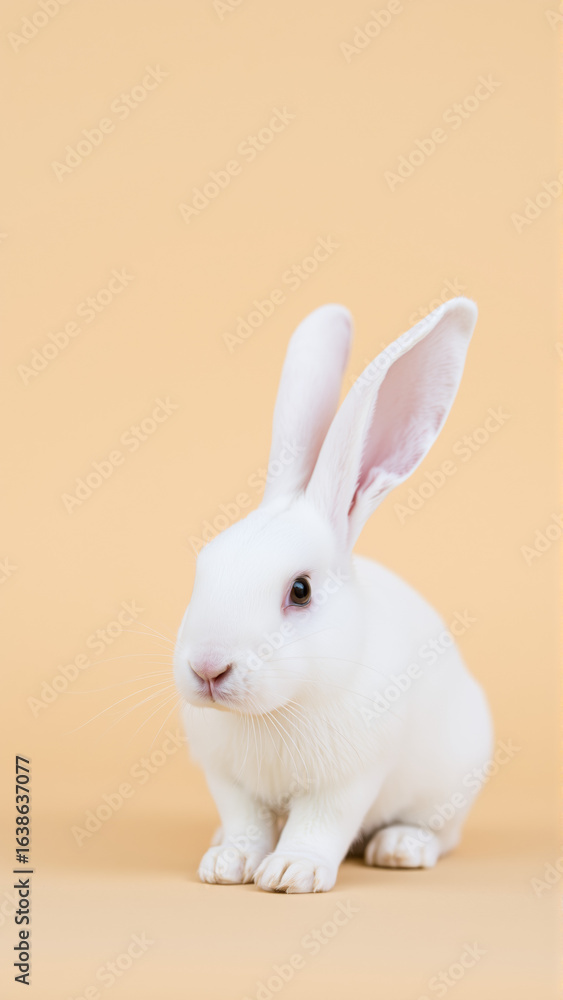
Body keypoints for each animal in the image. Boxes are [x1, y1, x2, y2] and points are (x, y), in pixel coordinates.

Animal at [173, 297, 493, 893]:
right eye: (204, 565)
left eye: (300, 591)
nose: (207, 668)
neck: (274, 712)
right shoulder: (228, 779)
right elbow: (245, 822)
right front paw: (228, 864)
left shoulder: (348, 780)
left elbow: (319, 824)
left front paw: (291, 872)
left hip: (453, 781)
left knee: (443, 833)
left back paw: (401, 847)